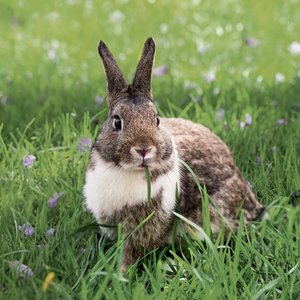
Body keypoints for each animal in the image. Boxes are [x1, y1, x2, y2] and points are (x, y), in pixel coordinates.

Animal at [83, 38, 266, 272]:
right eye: (117, 122)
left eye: (156, 119)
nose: (144, 149)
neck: (128, 171)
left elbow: (131, 251)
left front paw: (120, 272)